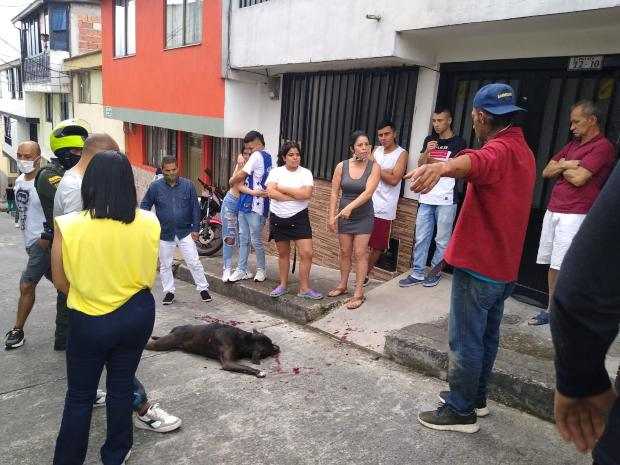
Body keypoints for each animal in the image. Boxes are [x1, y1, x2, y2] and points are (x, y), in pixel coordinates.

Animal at [144, 322, 280, 376]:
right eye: (270, 348)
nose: (278, 347)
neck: (244, 339)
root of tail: (177, 329)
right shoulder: (228, 363)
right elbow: (246, 367)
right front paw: (259, 372)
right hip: (162, 344)